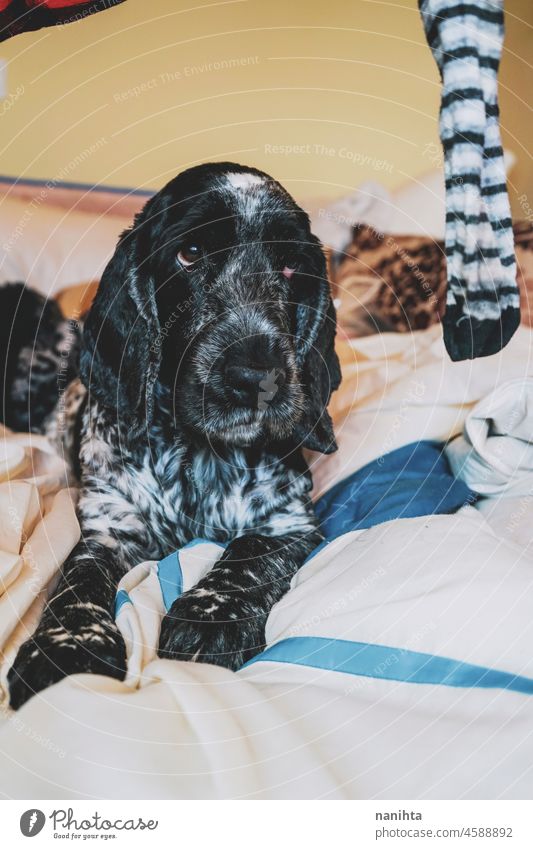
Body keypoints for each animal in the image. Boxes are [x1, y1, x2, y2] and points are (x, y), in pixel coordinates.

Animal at [5, 162, 340, 704]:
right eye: (190, 253)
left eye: (291, 266)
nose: (258, 377)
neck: (195, 455)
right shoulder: (109, 527)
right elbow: (78, 581)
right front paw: (64, 649)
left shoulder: (288, 522)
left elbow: (247, 554)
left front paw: (209, 617)